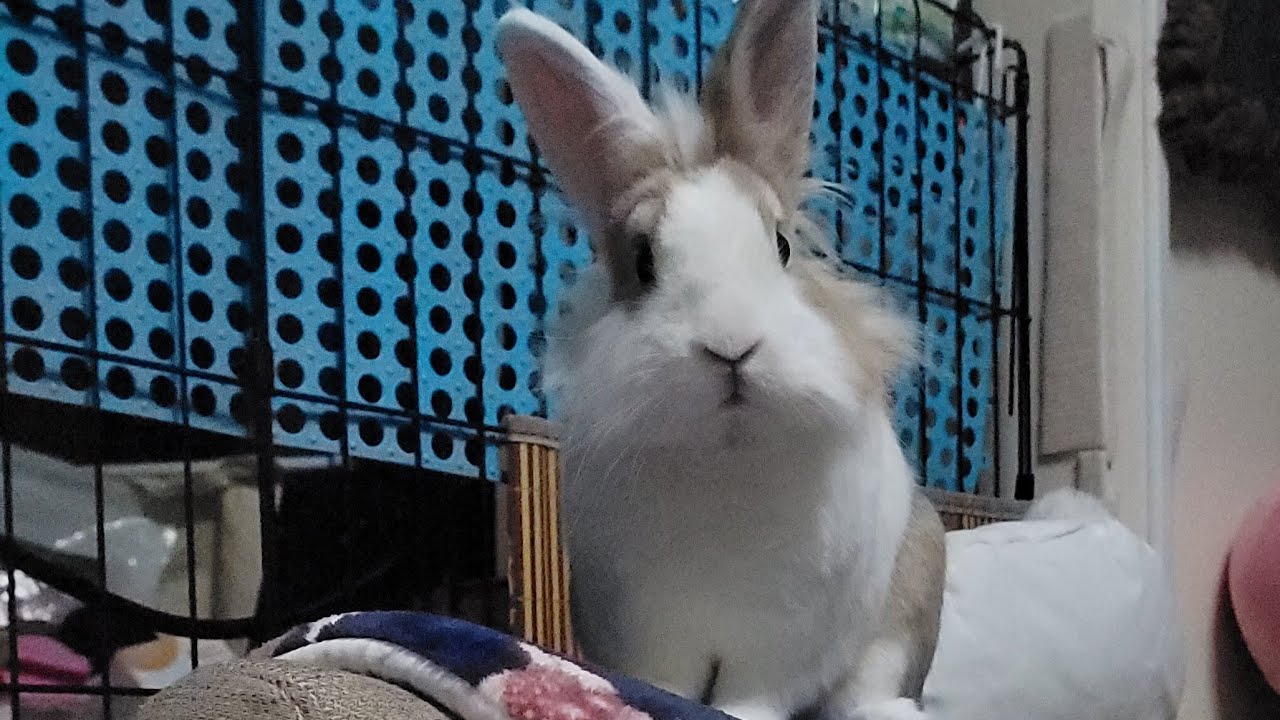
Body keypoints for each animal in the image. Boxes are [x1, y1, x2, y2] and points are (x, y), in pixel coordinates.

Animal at [496, 3, 945, 720]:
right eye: (643, 262)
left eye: (782, 245)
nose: (731, 347)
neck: (727, 447)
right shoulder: (649, 623)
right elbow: (664, 681)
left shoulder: (786, 634)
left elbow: (757, 692)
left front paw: (738, 714)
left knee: (868, 684)